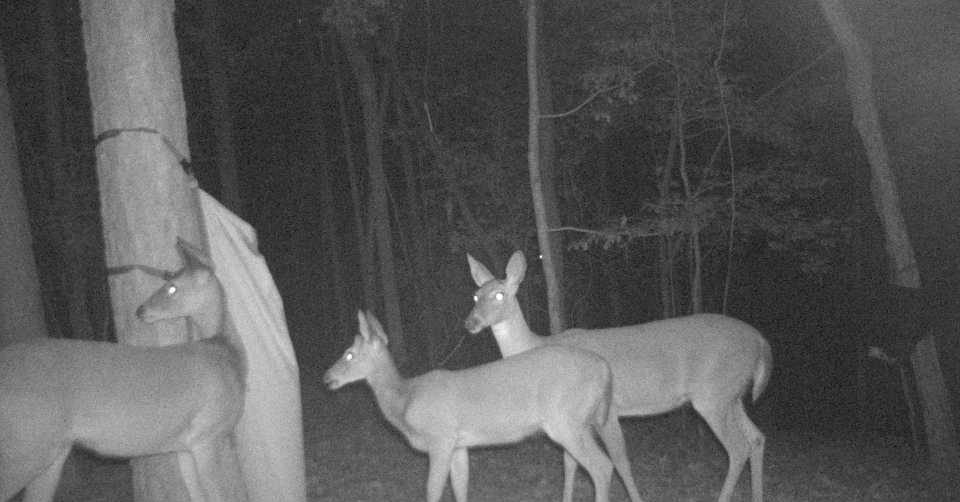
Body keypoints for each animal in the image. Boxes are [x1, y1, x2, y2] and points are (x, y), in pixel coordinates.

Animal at [0, 238, 247, 502]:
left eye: (172, 287)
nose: (140, 310)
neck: (224, 353)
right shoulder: (207, 434)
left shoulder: (185, 446)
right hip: (25, 443)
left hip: (50, 451)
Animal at [324, 310, 615, 502]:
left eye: (349, 354)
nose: (327, 377)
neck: (405, 399)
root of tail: (604, 368)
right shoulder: (458, 445)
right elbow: (460, 489)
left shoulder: (440, 438)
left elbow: (432, 491)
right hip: (582, 421)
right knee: (603, 464)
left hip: (564, 420)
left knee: (601, 468)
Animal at [464, 251, 773, 502]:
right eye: (476, 296)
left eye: (500, 294)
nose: (471, 322)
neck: (537, 345)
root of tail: (760, 341)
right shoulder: (575, 420)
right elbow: (569, 464)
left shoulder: (609, 411)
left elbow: (621, 462)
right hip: (732, 395)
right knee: (757, 438)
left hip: (713, 394)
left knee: (738, 447)